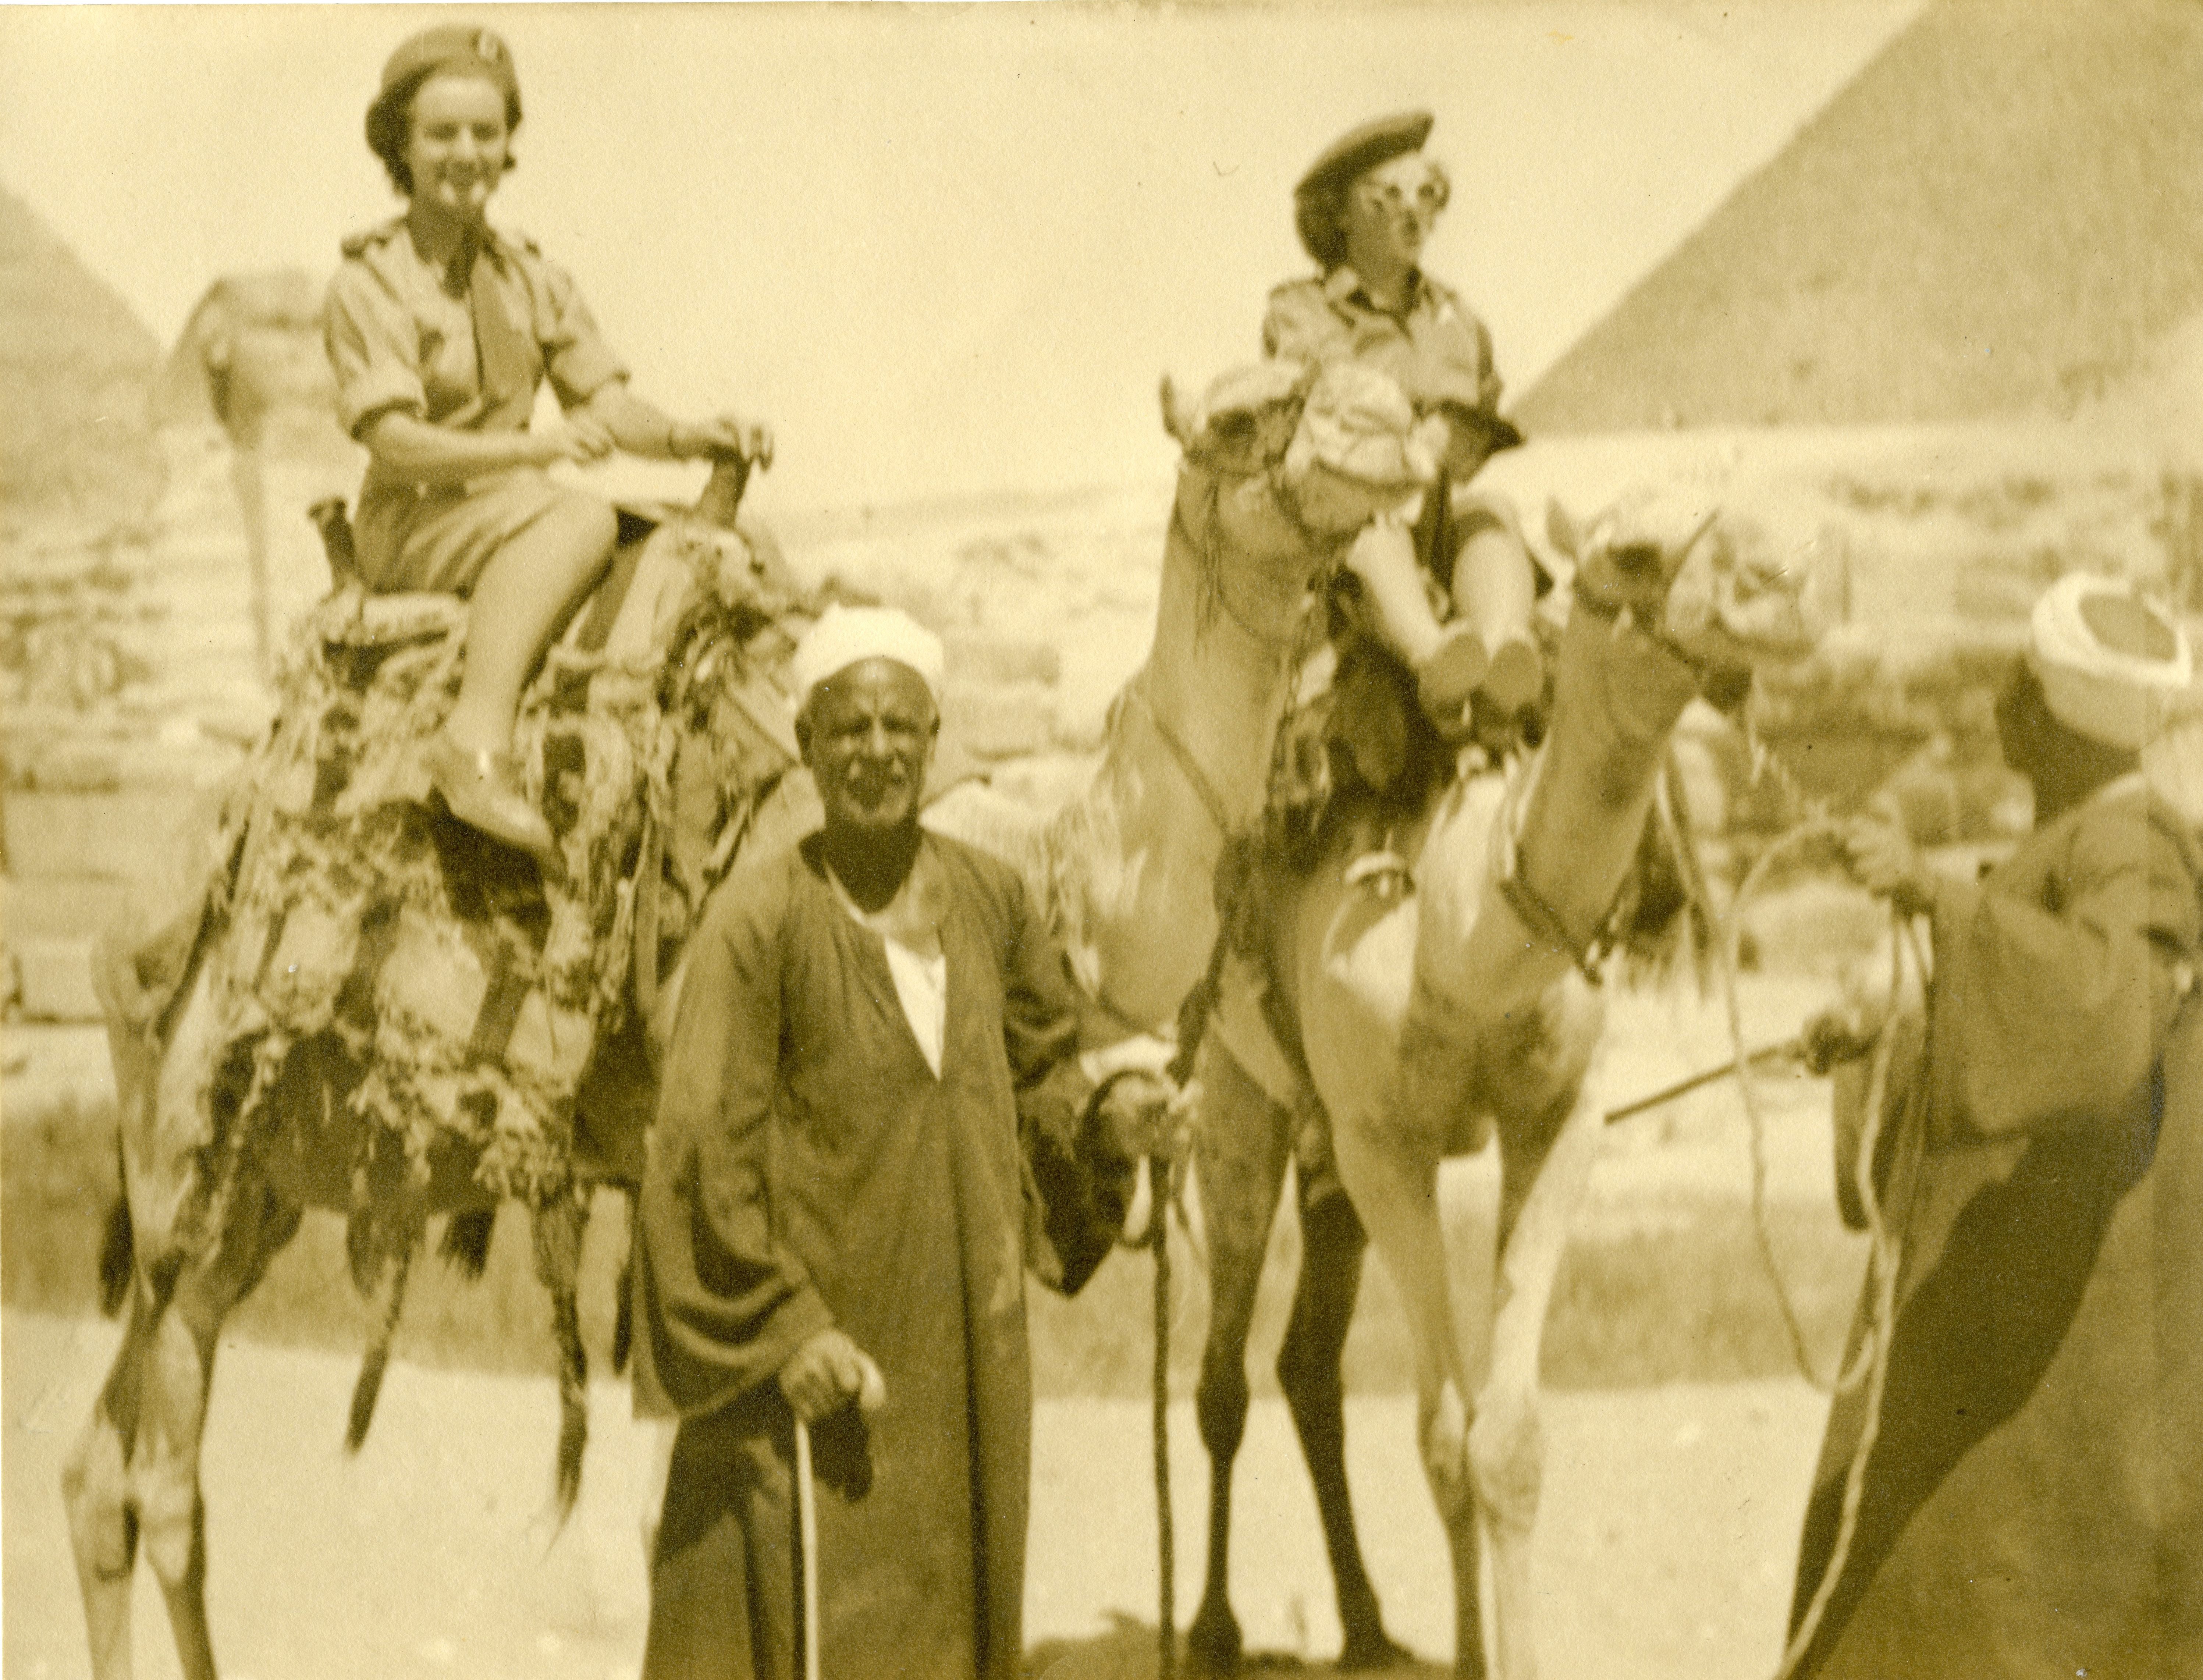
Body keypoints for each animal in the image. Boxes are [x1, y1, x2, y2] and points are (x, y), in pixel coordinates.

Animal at [938, 367, 1833, 1680]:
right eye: (1631, 548)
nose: (1795, 579)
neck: (1462, 919)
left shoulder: (1557, 1119)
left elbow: (1503, 1442)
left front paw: (1484, 1647)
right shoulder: (1383, 1141)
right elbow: (1443, 1435)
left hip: (1326, 1150)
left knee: (1308, 1367)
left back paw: (1366, 1623)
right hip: (1248, 1108)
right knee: (1223, 1377)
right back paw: (1213, 1627)